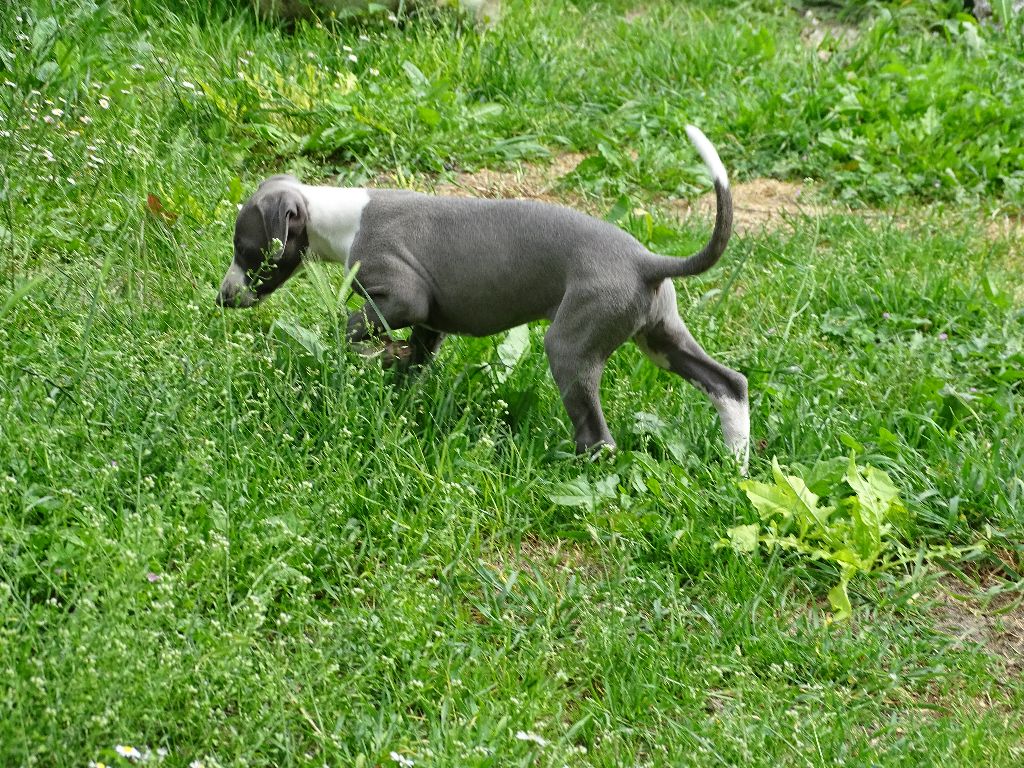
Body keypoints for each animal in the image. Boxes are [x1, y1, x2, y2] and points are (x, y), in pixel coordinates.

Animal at [216, 126, 749, 473]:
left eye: (247, 250)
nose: (222, 298)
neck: (343, 216)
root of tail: (647, 261)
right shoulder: (430, 321)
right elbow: (414, 357)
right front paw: (394, 381)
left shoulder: (404, 295)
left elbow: (352, 325)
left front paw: (371, 354)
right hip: (660, 337)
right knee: (729, 383)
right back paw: (736, 464)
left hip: (573, 344)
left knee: (598, 437)